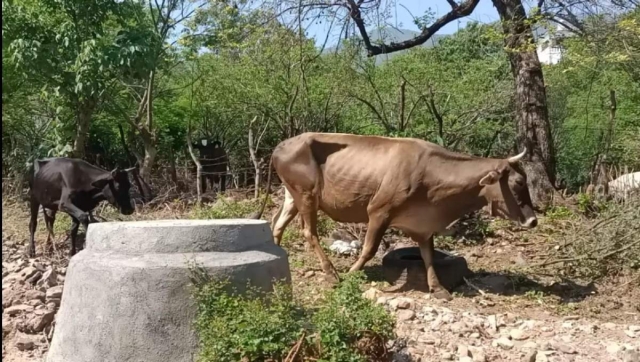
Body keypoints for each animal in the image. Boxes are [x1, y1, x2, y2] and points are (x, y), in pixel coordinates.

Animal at [252, 133, 536, 300]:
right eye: (519, 182)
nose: (533, 221)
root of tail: (283, 144)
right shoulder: (379, 211)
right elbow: (369, 248)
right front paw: (352, 274)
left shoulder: (422, 224)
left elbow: (428, 256)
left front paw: (438, 288)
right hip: (307, 195)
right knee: (308, 232)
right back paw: (332, 273)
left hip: (293, 196)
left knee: (277, 225)